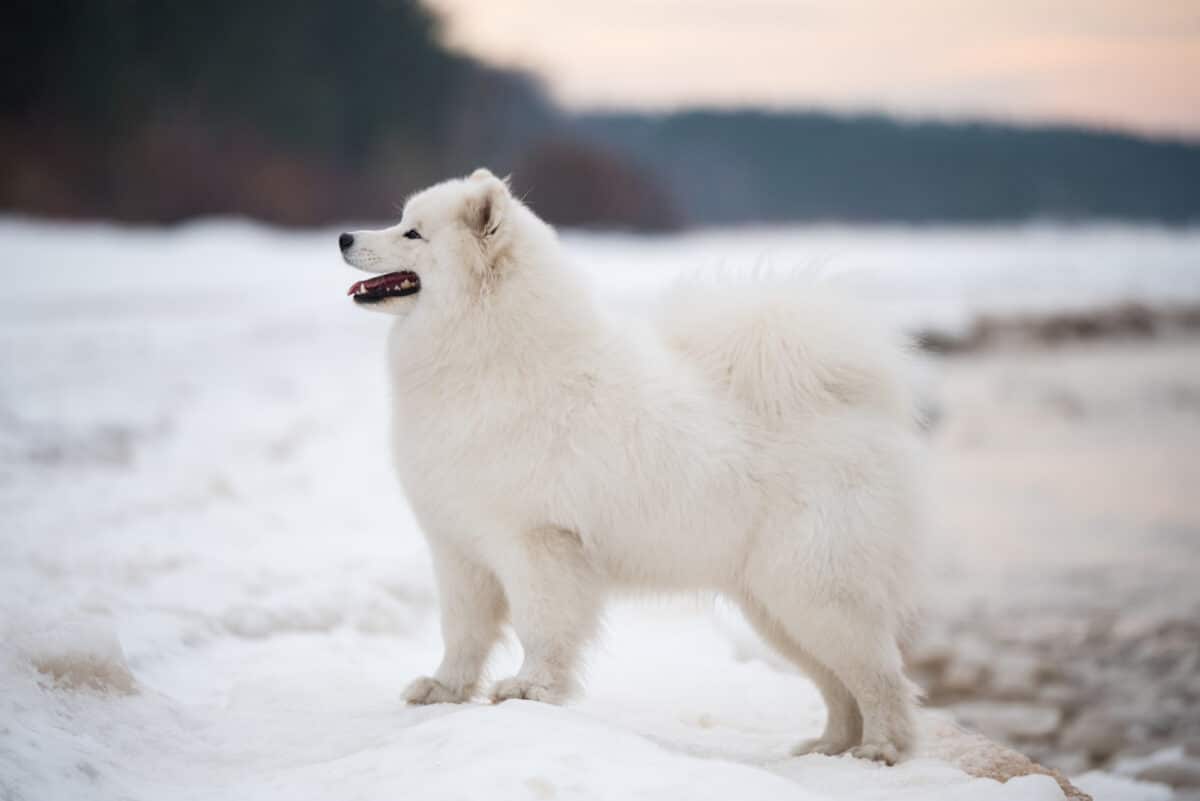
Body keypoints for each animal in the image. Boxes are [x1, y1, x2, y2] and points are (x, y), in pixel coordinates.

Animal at [343, 170, 921, 762]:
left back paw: (880, 750)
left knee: (880, 678)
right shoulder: (459, 549)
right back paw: (828, 749)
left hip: (815, 590)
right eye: (402, 221)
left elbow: (540, 627)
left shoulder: (536, 543)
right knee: (838, 685)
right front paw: (445, 690)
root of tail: (854, 407)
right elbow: (462, 632)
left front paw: (530, 689)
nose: (343, 237)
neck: (487, 353)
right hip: (777, 606)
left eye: (413, 233)